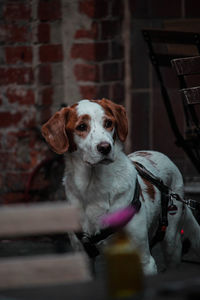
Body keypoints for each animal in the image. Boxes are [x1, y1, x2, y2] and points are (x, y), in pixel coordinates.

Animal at [41, 98, 200, 274]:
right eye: (81, 127)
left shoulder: (145, 260)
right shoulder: (83, 258)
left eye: (108, 123)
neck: (94, 185)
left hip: (171, 240)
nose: (105, 147)